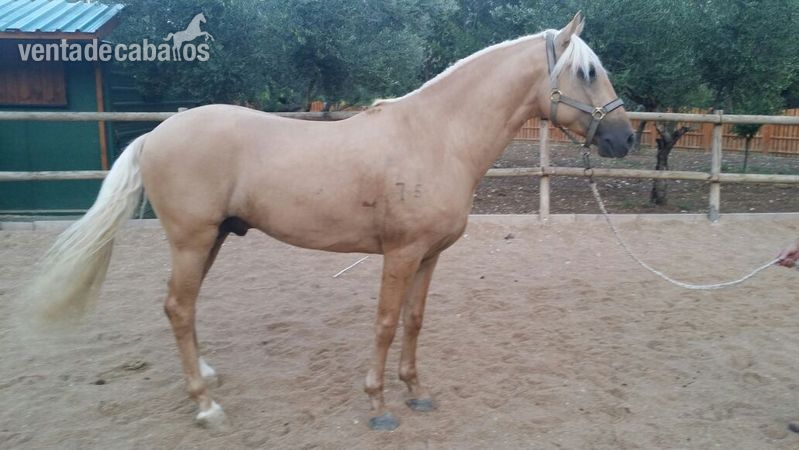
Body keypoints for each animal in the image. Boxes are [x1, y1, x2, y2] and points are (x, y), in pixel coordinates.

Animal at [25, 12, 634, 431]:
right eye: (587, 72)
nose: (624, 138)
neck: (435, 137)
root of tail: (155, 133)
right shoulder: (401, 253)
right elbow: (385, 324)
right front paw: (379, 404)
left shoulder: (430, 255)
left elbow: (414, 322)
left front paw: (416, 391)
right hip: (191, 239)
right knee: (178, 307)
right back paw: (206, 405)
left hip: (213, 238)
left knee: (186, 307)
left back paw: (207, 380)